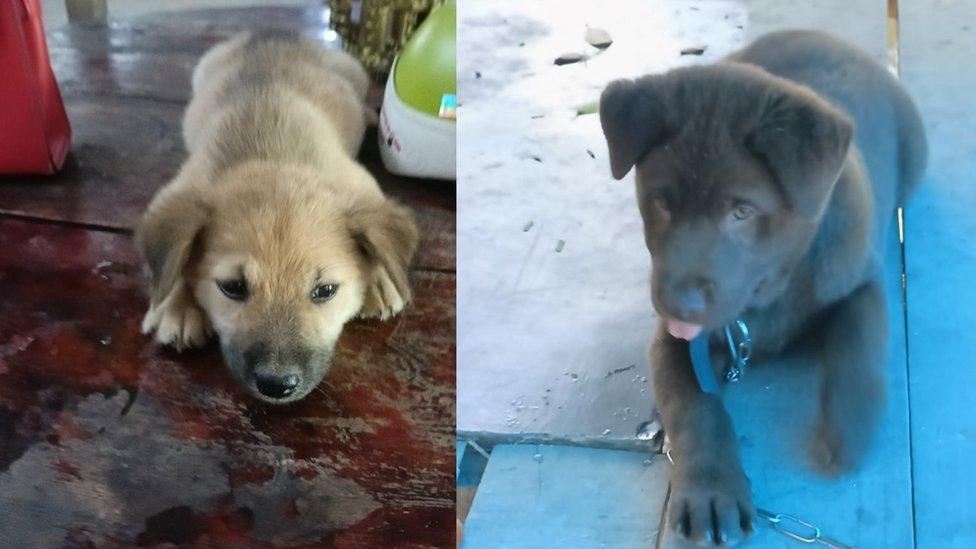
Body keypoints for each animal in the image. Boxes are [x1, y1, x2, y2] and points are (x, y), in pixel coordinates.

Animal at [135, 34, 418, 402]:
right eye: (232, 287)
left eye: (326, 290)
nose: (277, 385)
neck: (272, 154)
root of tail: (272, 32)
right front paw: (174, 304)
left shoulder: (362, 185)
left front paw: (381, 280)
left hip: (354, 73)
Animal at [600, 32, 928, 544]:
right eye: (662, 203)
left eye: (742, 212)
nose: (677, 304)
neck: (765, 302)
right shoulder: (677, 342)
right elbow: (694, 405)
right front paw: (711, 489)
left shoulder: (862, 281)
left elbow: (861, 342)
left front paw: (850, 426)